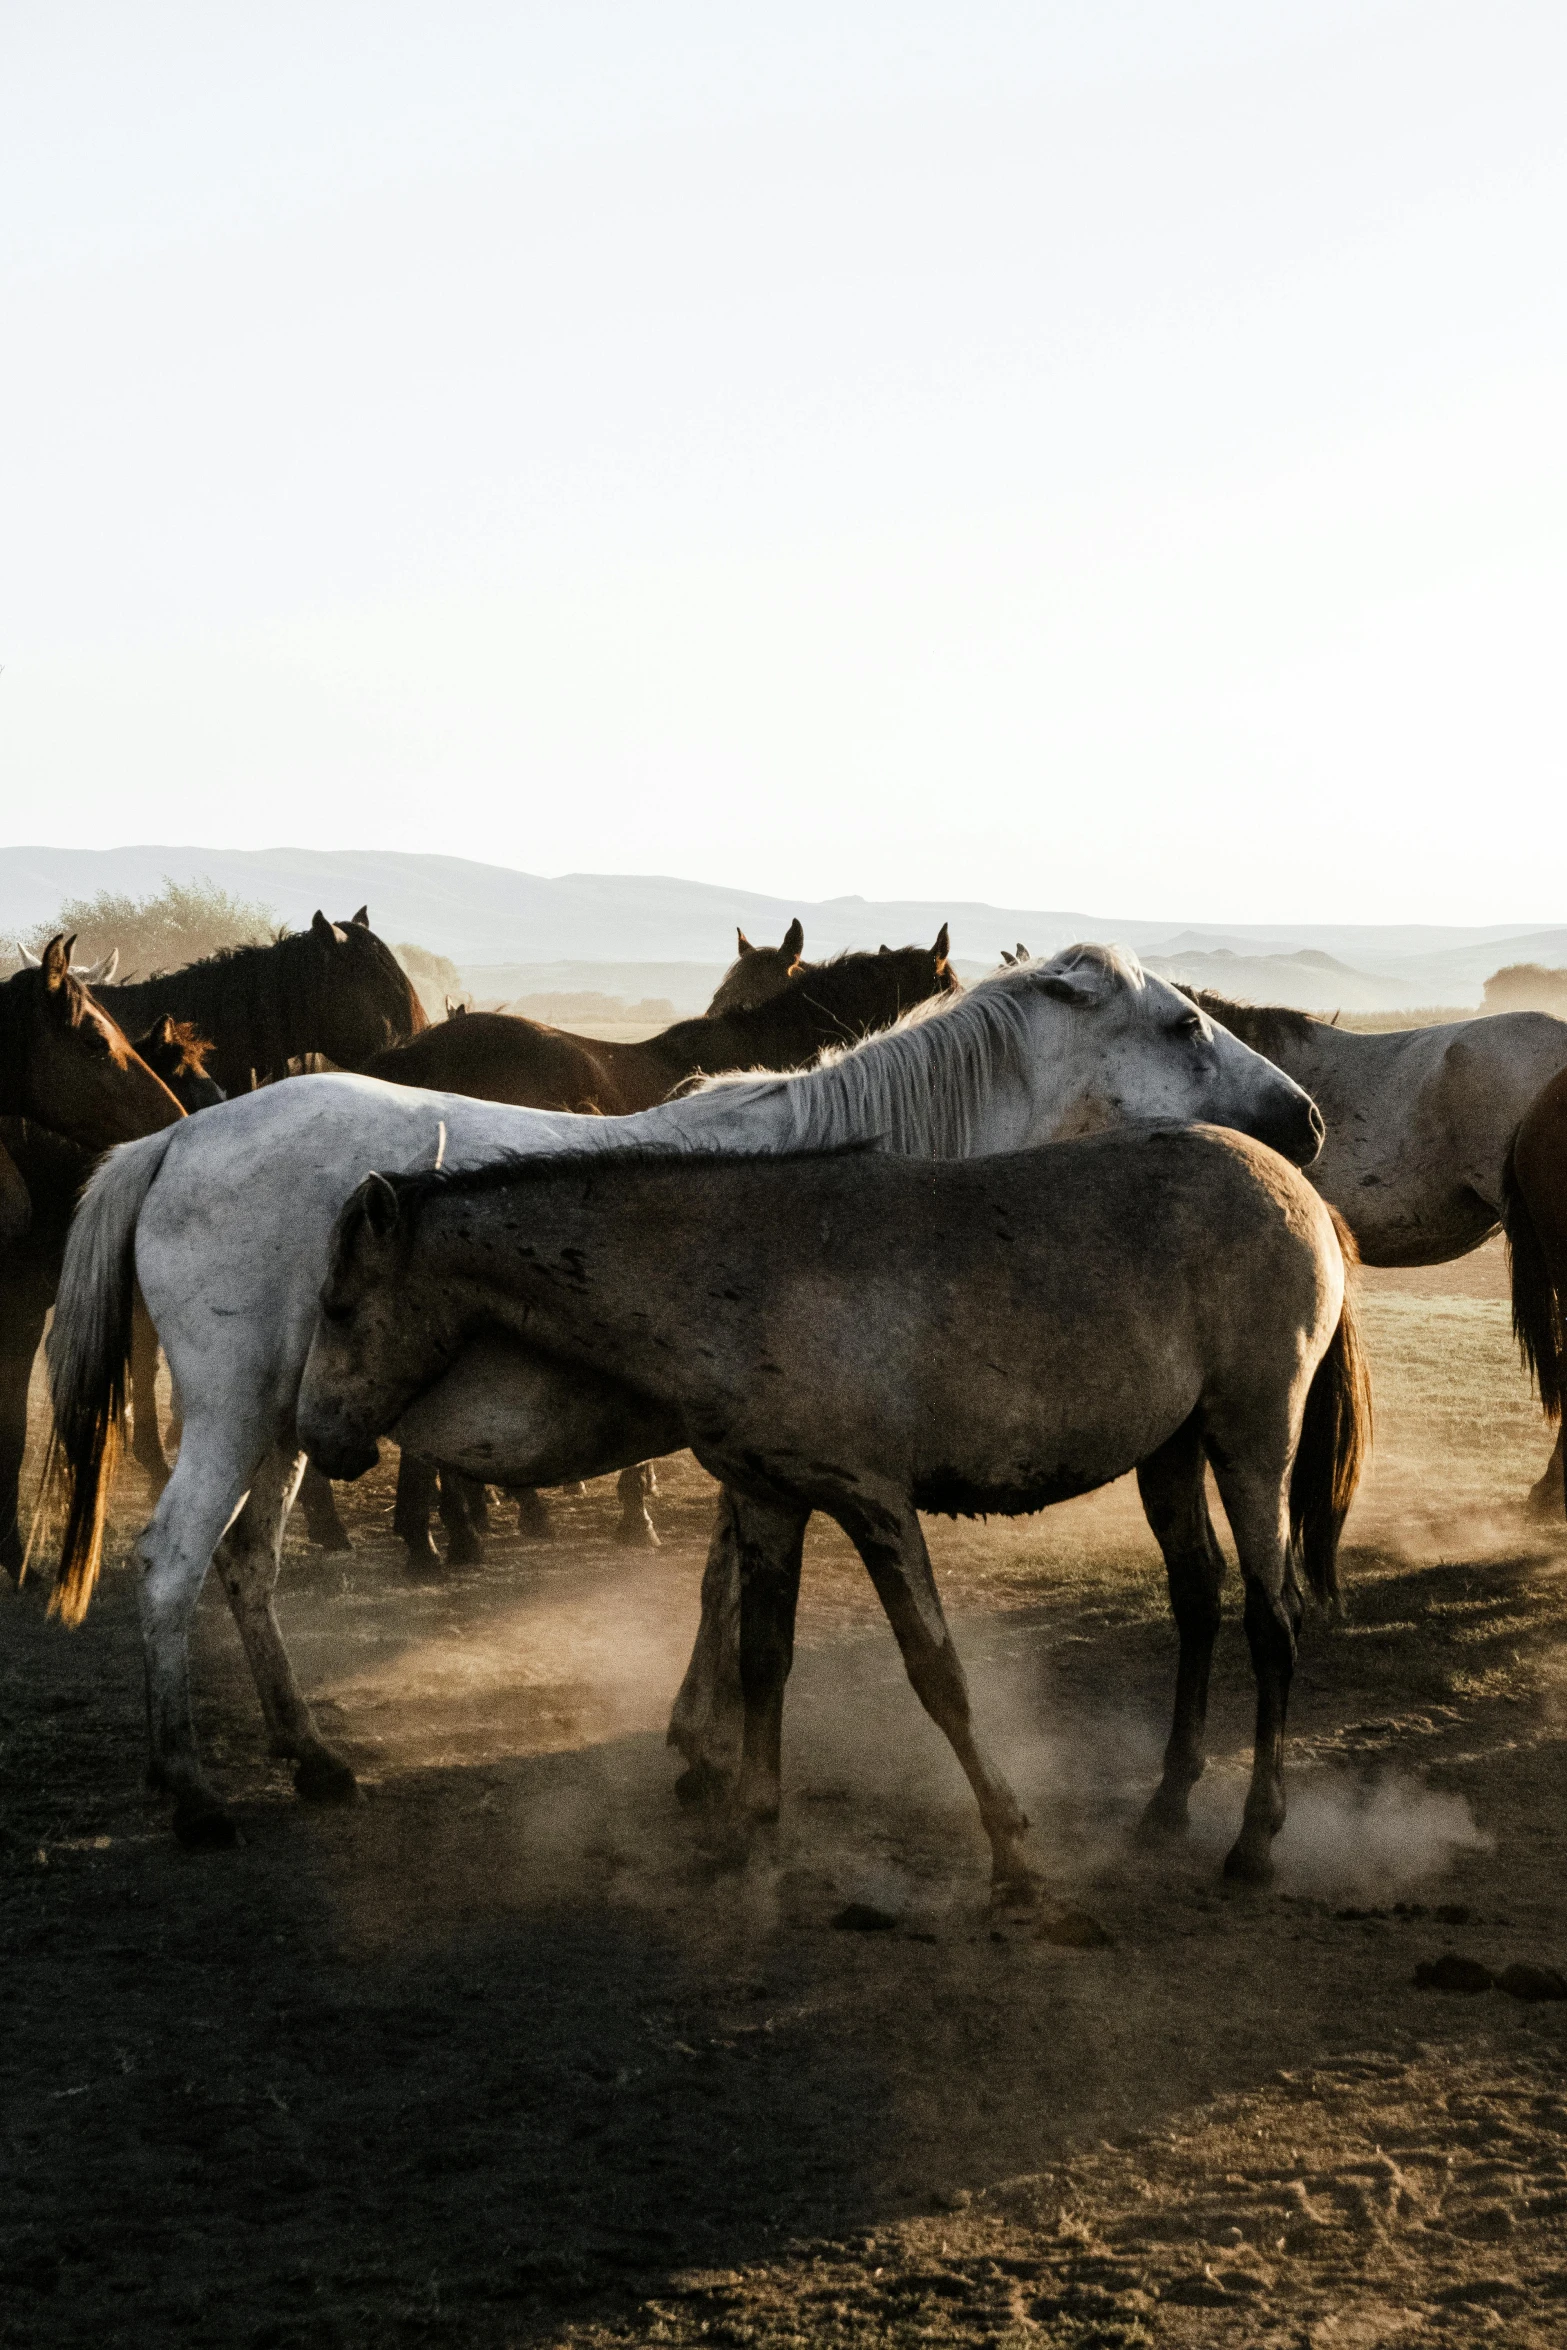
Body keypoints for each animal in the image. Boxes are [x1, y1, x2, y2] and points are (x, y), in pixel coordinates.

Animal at [46, 944, 1325, 1842]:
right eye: (1182, 1022)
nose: (1304, 1119)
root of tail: (178, 1138)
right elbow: (730, 1593)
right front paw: (708, 1754)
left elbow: (725, 1586)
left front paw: (701, 1747)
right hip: (231, 1417)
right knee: (173, 1561)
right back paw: (193, 1791)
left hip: (287, 1426)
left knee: (247, 1563)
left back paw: (309, 1756)